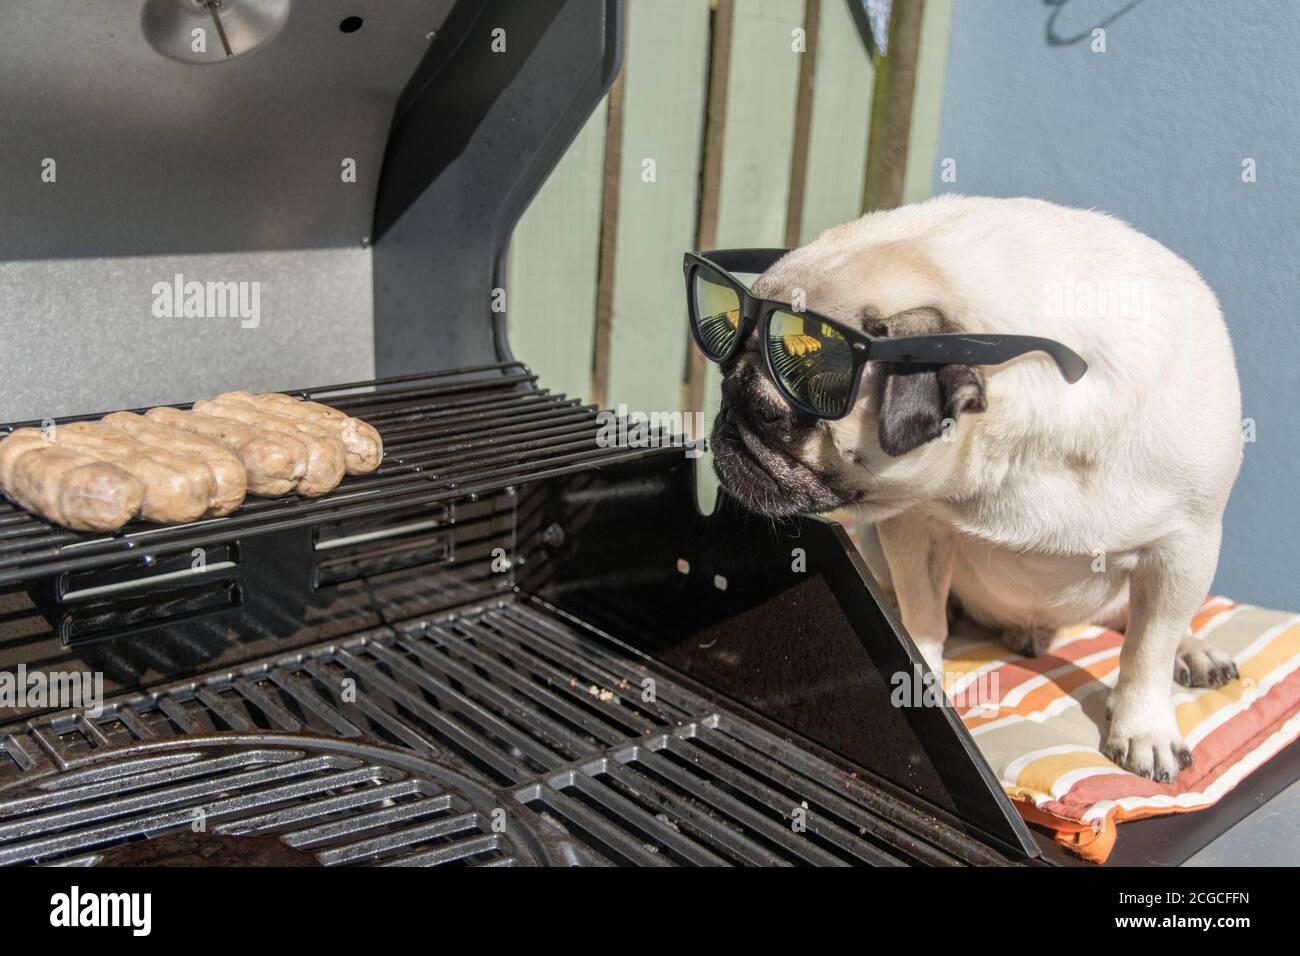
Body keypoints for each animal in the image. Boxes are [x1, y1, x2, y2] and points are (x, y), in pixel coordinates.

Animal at [717, 196, 1242, 785]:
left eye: (768, 414)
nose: (724, 430)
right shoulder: (913, 527)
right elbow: (922, 617)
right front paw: (921, 672)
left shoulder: (1185, 547)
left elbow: (1148, 651)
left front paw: (1145, 729)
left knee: (1142, 623)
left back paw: (1195, 651)